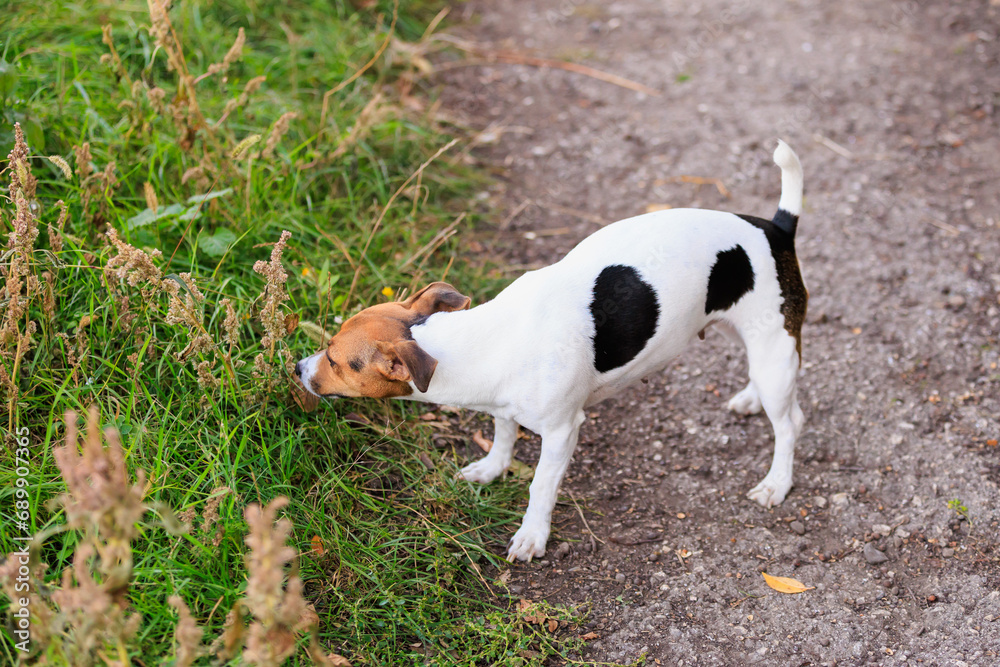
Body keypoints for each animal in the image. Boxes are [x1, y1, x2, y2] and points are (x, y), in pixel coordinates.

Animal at [294, 141, 804, 564]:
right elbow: (502, 436)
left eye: (335, 360)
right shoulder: (501, 404)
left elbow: (540, 486)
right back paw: (750, 399)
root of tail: (775, 229)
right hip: (751, 338)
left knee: (790, 422)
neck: (480, 339)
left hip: (774, 353)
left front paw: (532, 536)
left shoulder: (562, 432)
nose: (297, 366)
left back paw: (776, 482)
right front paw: (493, 468)